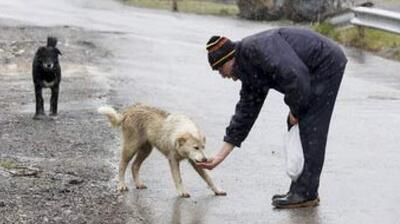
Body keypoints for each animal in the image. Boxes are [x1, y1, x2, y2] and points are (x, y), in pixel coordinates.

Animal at [97, 103, 225, 198]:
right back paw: (121, 185)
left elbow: (208, 178)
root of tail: (130, 109)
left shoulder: (194, 161)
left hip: (146, 150)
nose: (205, 159)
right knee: (122, 165)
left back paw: (138, 184)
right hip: (131, 147)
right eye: (195, 147)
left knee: (134, 166)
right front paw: (182, 192)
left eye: (203, 147)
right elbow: (178, 178)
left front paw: (217, 190)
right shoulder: (173, 160)